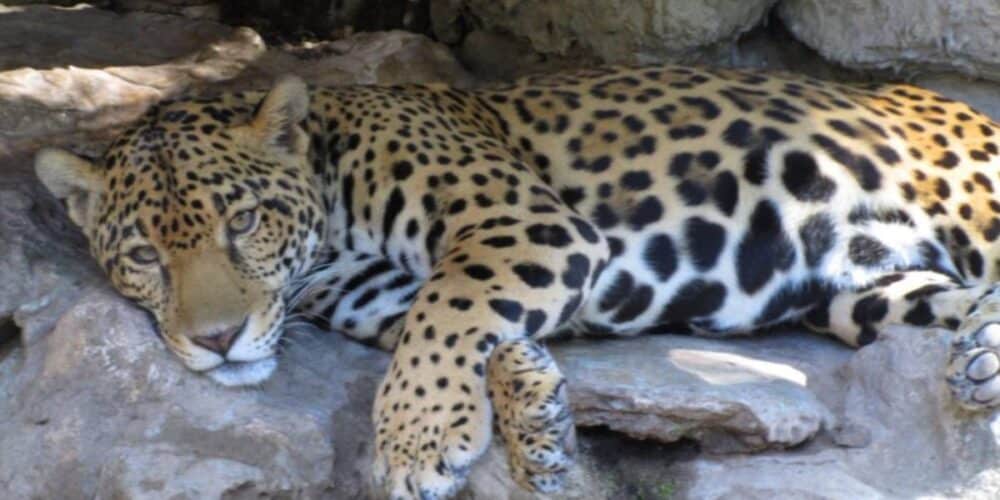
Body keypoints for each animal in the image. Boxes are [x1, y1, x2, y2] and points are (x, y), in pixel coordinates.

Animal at [34, 65, 1000, 499]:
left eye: (242, 223)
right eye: (144, 257)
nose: (216, 342)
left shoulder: (519, 221)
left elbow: (449, 312)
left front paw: (415, 443)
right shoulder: (380, 294)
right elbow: (456, 326)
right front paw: (535, 420)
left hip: (968, 200)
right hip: (864, 289)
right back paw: (980, 351)